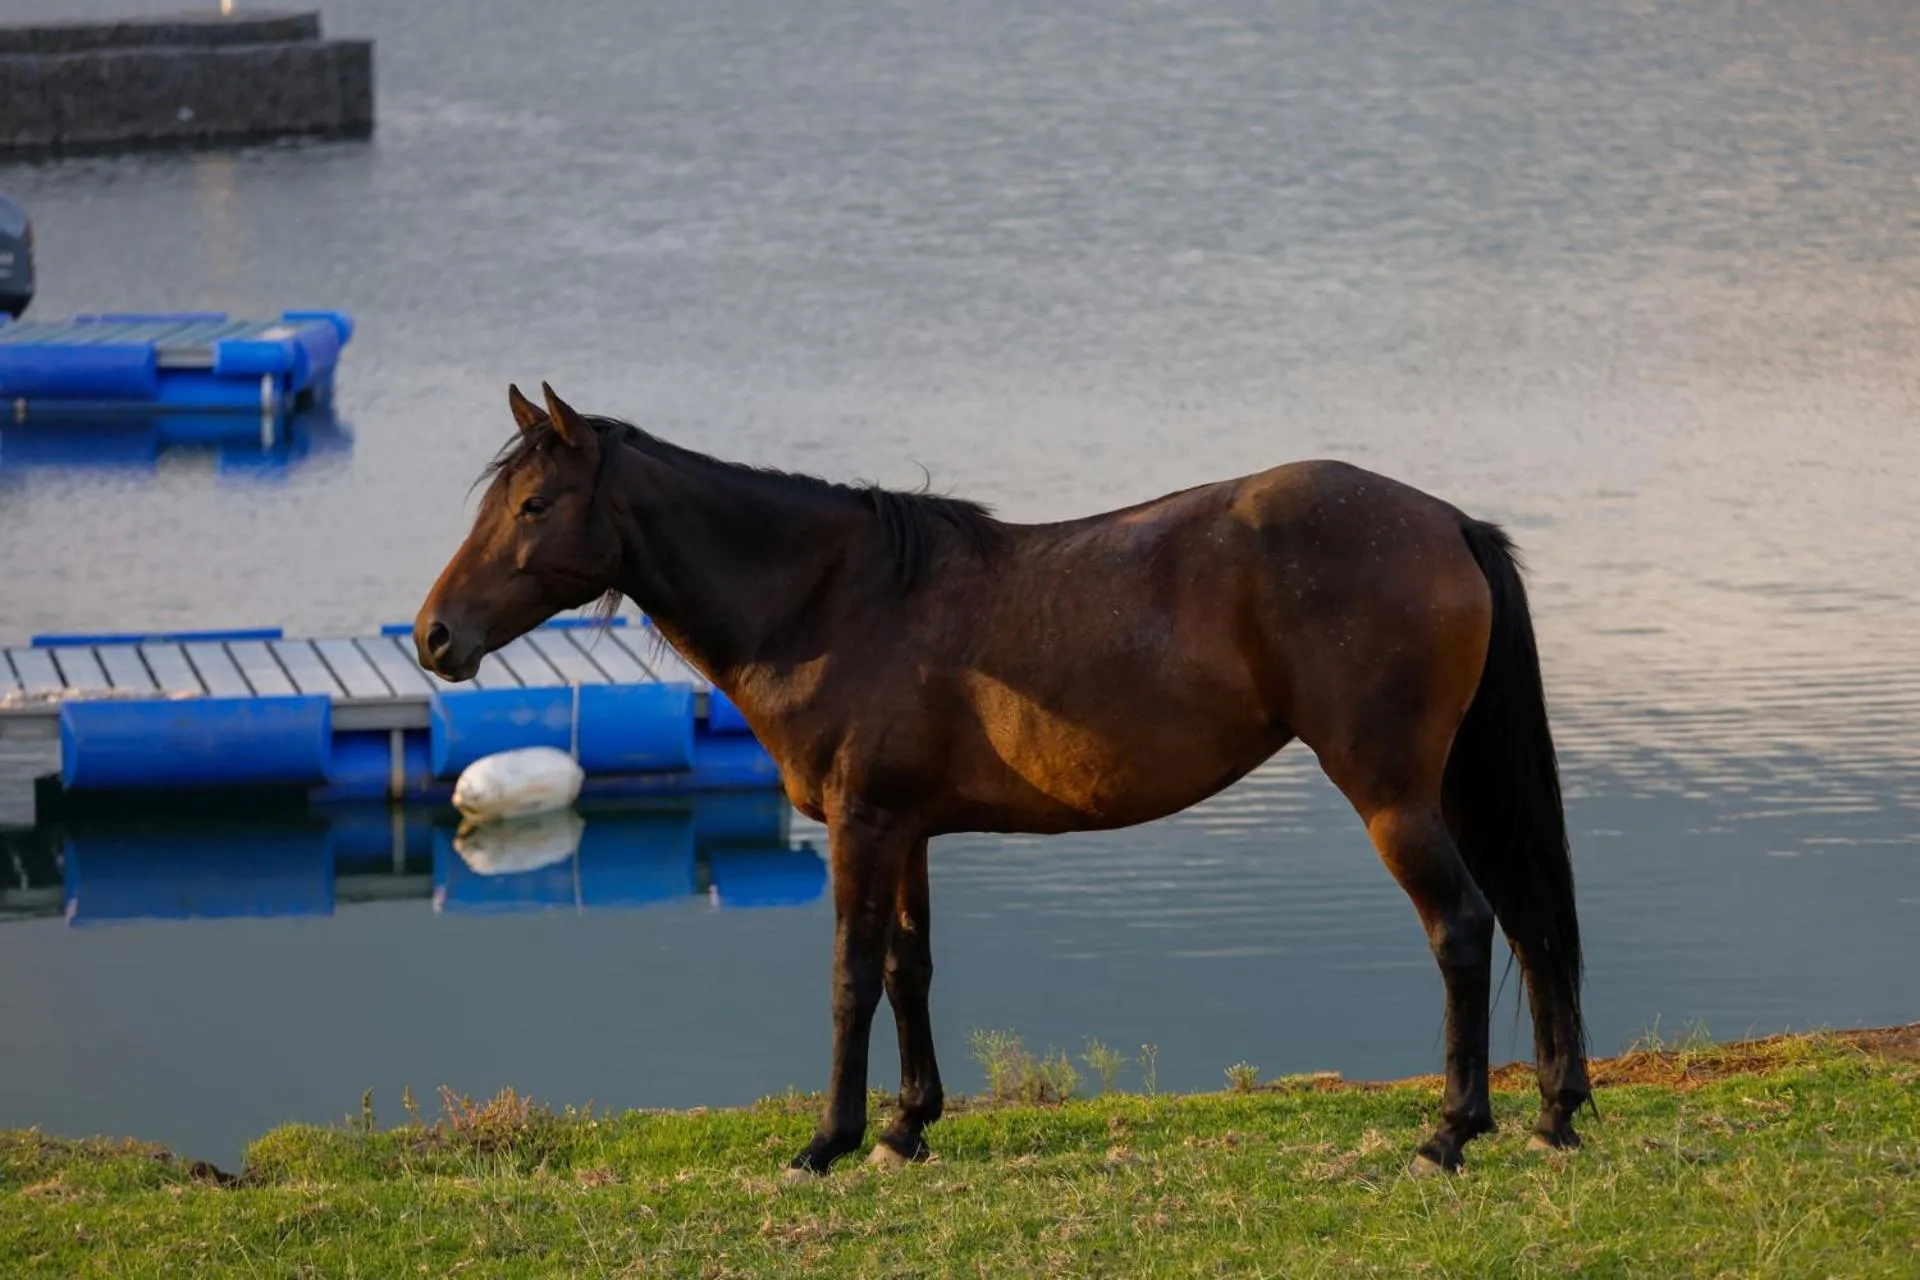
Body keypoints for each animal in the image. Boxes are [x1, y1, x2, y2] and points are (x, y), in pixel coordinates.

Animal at [414, 382, 1592, 1177]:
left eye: (534, 504)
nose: (434, 636)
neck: (831, 600)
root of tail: (1446, 522)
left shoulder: (862, 826)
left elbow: (850, 975)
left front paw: (828, 1139)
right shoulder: (906, 831)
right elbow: (909, 969)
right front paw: (905, 1126)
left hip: (1394, 794)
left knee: (1464, 927)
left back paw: (1451, 1131)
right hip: (1454, 790)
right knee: (1531, 925)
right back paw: (1554, 1112)